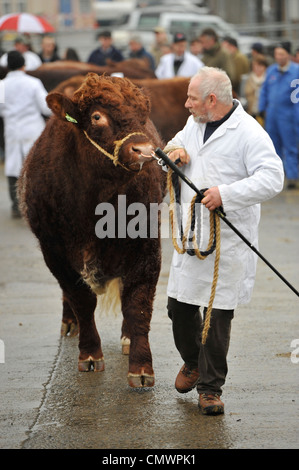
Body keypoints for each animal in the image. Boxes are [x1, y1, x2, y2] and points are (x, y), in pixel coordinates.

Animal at [18, 74, 166, 390]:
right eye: (97, 117)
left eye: (143, 115)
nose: (144, 151)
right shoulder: (55, 251)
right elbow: (80, 299)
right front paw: (89, 355)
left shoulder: (147, 246)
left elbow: (138, 303)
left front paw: (141, 367)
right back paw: (69, 323)